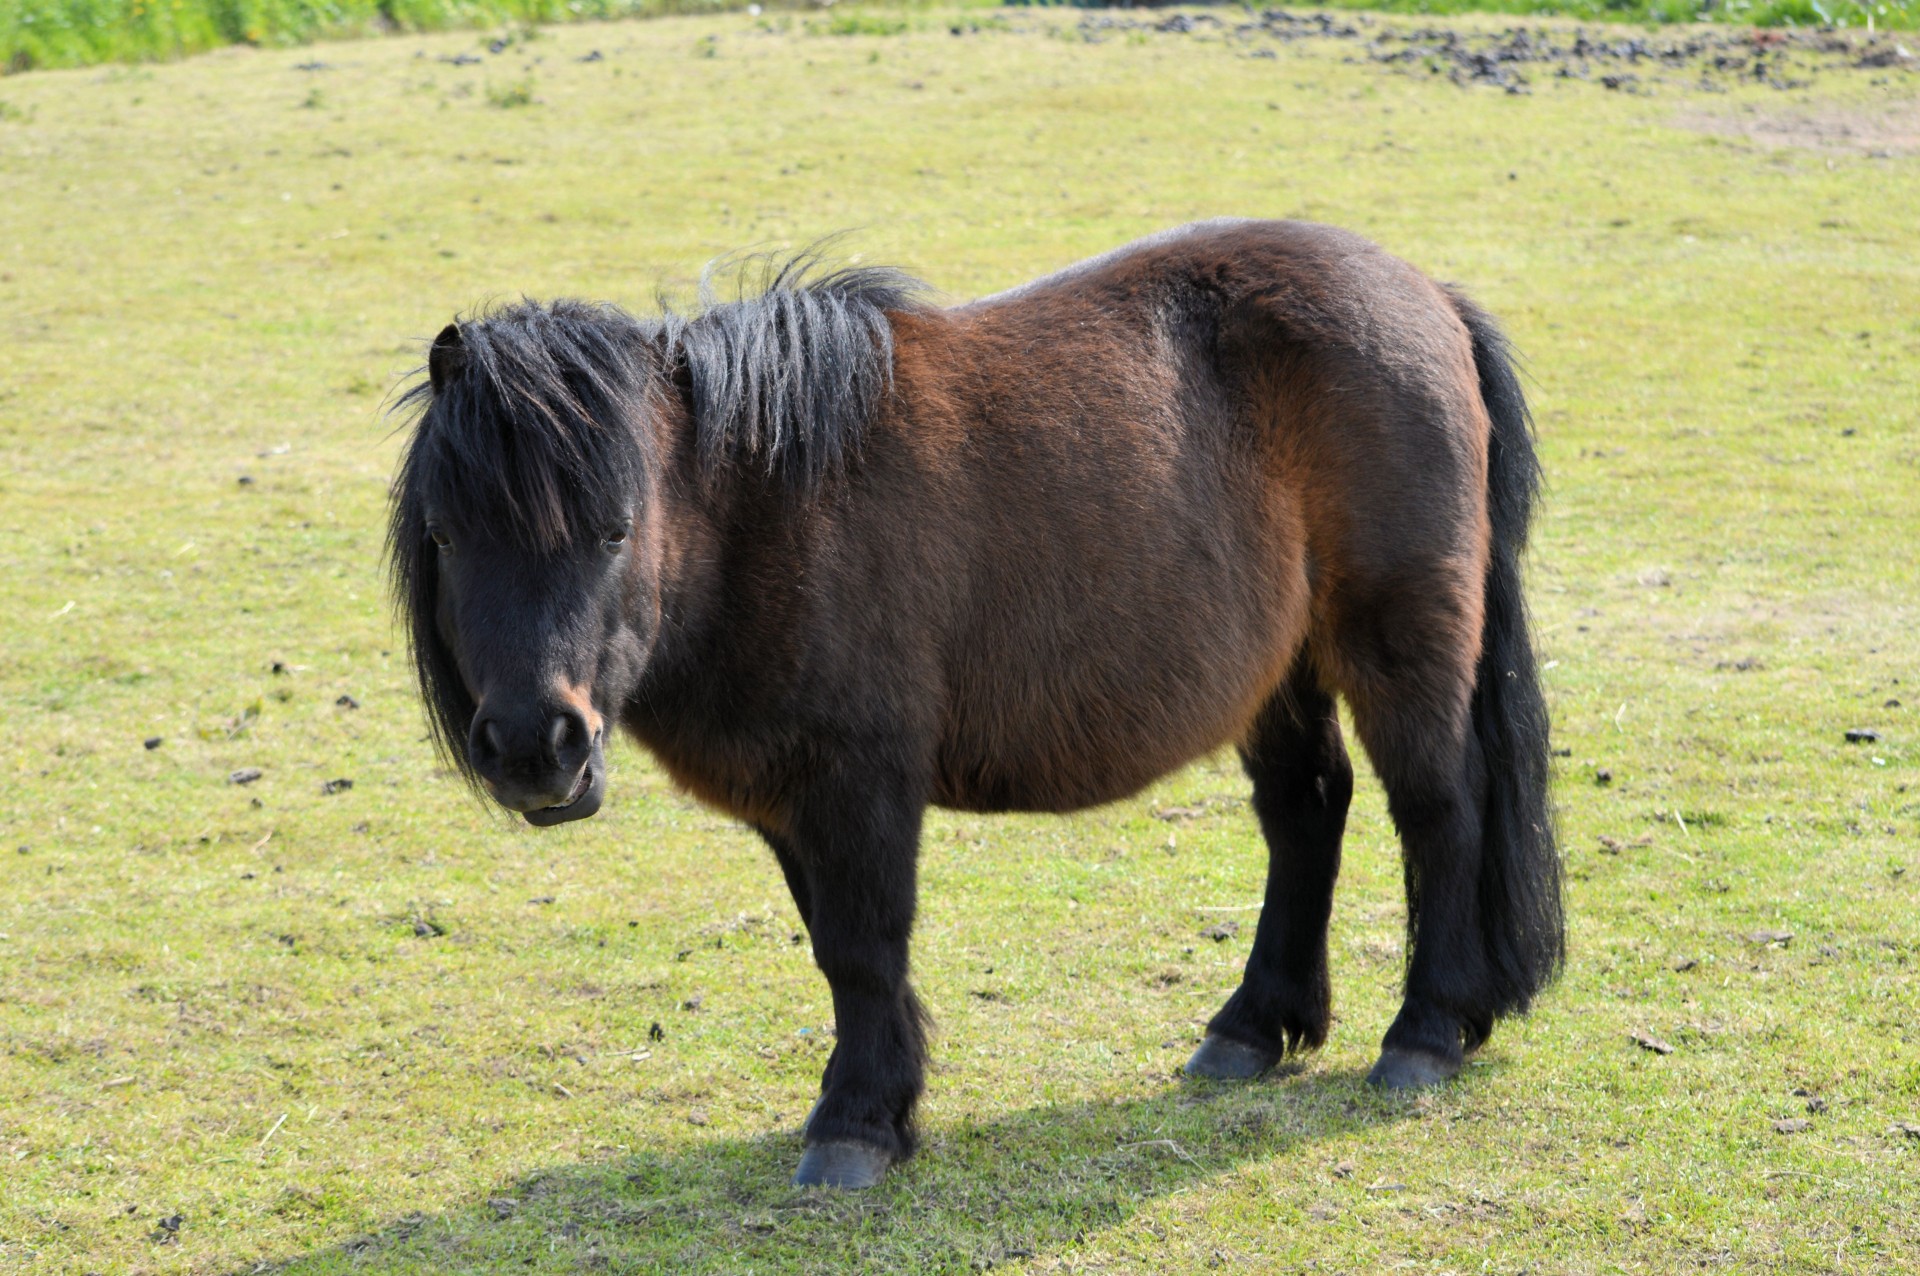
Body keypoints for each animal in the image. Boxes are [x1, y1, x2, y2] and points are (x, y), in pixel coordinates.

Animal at [389, 218, 1559, 1181]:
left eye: (615, 529)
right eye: (446, 533)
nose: (533, 747)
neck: (773, 511)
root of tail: (1427, 295)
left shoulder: (859, 782)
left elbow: (864, 944)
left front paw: (856, 1129)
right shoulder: (791, 800)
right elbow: (837, 946)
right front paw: (884, 1106)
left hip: (1399, 641)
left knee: (1439, 807)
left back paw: (1425, 1033)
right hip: (1279, 672)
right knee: (1306, 813)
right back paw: (1252, 1029)